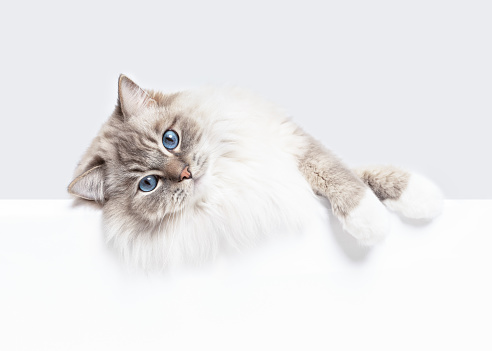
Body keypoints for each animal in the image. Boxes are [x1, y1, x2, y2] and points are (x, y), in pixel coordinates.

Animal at [68, 75, 442, 270]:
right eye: (148, 184)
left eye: (169, 139)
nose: (186, 172)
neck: (229, 176)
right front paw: (375, 223)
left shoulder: (291, 147)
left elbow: (345, 174)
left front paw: (420, 198)